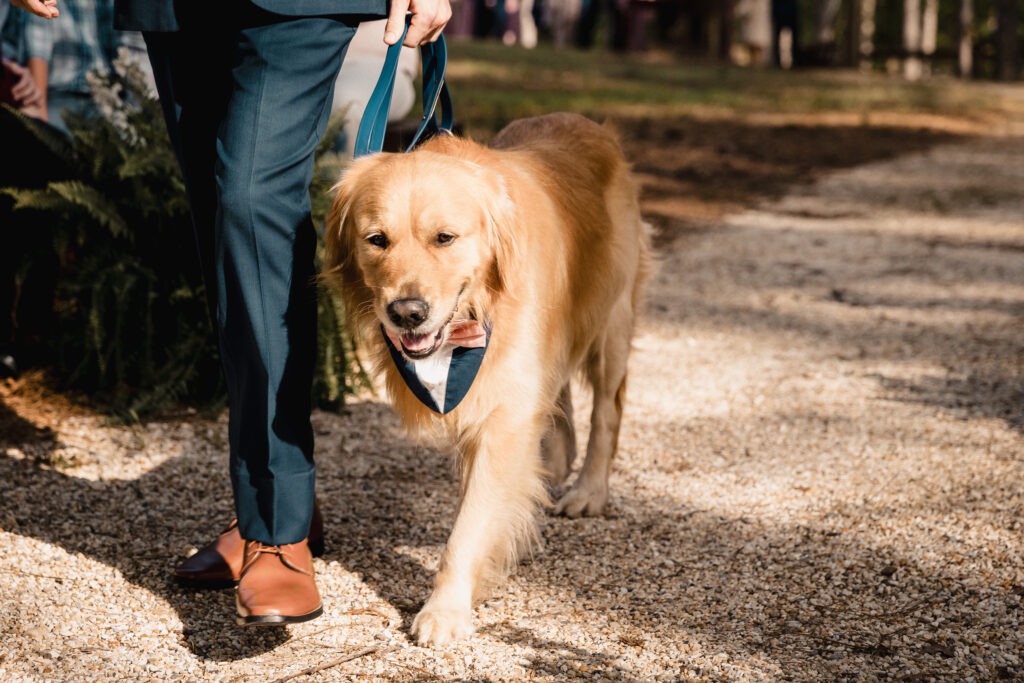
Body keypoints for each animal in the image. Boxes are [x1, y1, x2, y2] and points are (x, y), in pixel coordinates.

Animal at [323, 113, 651, 647]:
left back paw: (589, 491)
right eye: (376, 239)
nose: (407, 313)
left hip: (612, 319)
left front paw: (445, 610)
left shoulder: (500, 416)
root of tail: (587, 122)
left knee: (607, 410)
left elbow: (469, 528)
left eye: (444, 238)